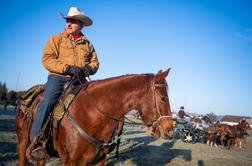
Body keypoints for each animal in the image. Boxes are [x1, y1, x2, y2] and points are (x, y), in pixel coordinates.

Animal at [15, 68, 173, 165]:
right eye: (163, 98)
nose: (170, 130)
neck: (92, 114)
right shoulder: (69, 161)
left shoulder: (98, 160)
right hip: (23, 142)